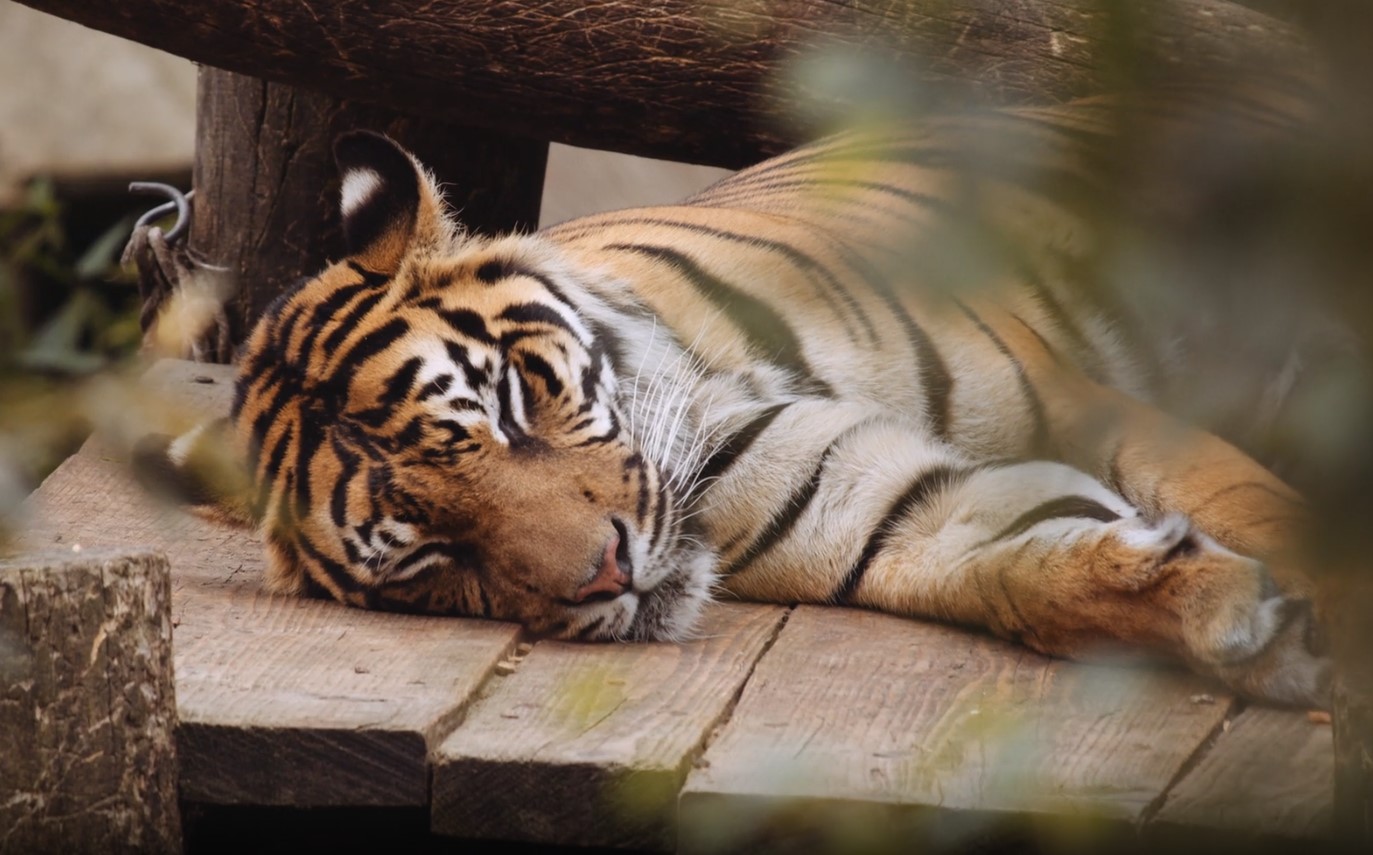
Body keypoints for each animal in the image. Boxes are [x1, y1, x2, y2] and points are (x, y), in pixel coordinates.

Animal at [134, 85, 1334, 709]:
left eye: (512, 406)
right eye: (434, 555)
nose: (607, 574)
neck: (714, 408)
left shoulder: (1104, 412)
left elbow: (1285, 526)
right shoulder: (885, 512)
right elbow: (1024, 574)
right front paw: (1243, 624)